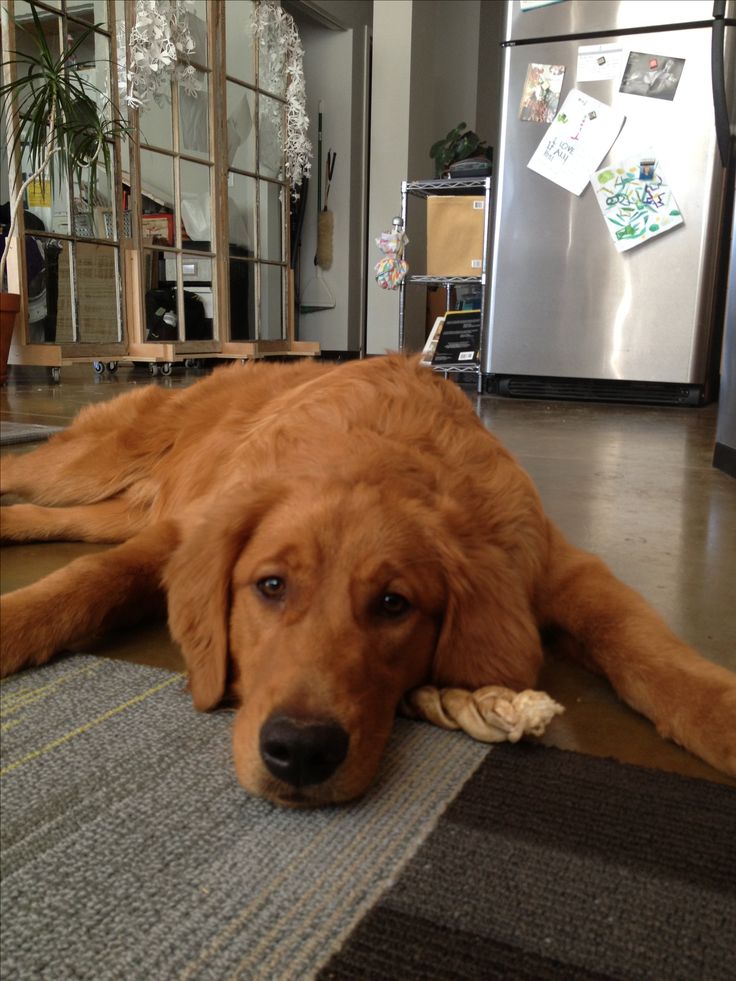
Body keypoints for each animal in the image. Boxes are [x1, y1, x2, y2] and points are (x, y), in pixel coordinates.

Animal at [1, 354, 736, 804]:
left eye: (393, 604)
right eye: (271, 586)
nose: (300, 752)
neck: (373, 453)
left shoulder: (553, 562)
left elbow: (634, 637)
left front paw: (718, 713)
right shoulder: (184, 529)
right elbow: (91, 582)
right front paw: (15, 624)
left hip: (112, 507)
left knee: (47, 517)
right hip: (91, 464)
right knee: (31, 479)